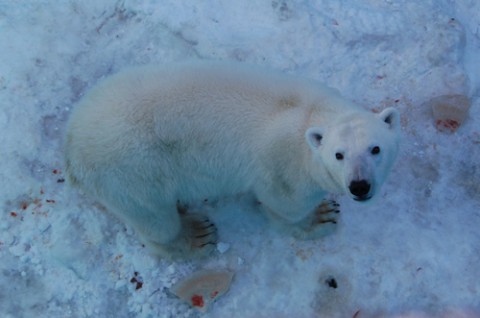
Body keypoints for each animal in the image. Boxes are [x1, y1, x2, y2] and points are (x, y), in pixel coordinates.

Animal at [64, 60, 402, 260]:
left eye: (375, 149)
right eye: (338, 154)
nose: (359, 186)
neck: (309, 111)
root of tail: (70, 146)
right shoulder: (283, 167)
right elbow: (284, 205)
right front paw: (322, 216)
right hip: (130, 171)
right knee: (154, 218)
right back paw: (195, 235)